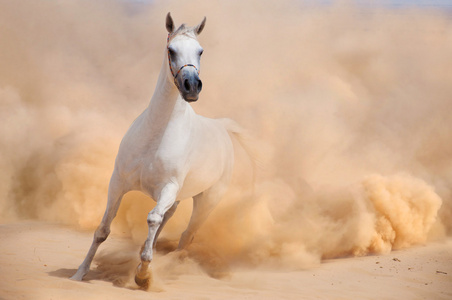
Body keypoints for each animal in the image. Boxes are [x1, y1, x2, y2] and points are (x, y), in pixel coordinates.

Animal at [71, 13, 254, 288]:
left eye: (200, 51)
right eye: (171, 50)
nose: (192, 86)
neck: (155, 135)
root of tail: (222, 126)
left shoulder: (168, 187)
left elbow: (152, 219)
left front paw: (143, 274)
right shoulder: (118, 183)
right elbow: (103, 230)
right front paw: (80, 273)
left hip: (206, 202)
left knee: (186, 235)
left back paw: (170, 265)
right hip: (179, 197)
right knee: (169, 221)